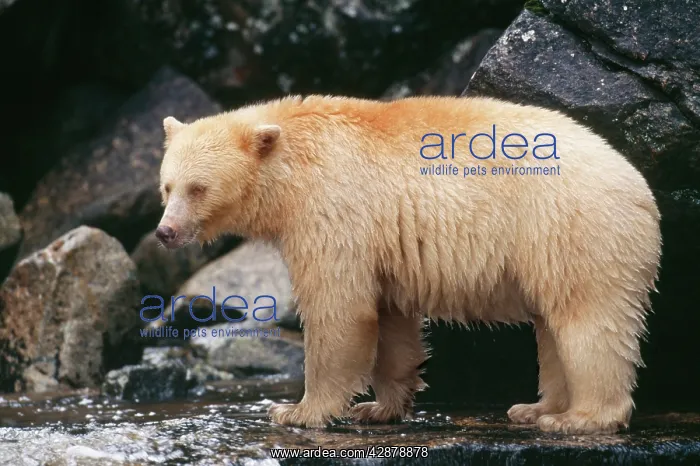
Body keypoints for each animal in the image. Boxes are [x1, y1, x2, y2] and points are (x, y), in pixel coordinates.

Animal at [155, 95, 661, 435]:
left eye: (198, 188)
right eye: (166, 186)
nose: (165, 232)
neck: (292, 161)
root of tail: (638, 185)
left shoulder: (331, 208)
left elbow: (338, 307)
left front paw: (296, 411)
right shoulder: (381, 243)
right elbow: (390, 318)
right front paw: (380, 407)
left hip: (571, 227)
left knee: (587, 321)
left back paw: (579, 419)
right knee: (551, 326)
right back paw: (536, 409)